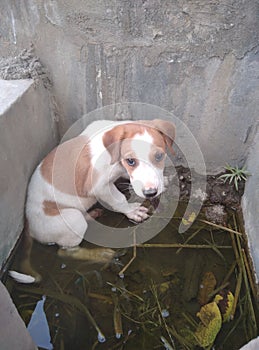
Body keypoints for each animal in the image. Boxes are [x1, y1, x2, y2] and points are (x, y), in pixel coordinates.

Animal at [9, 119, 176, 284]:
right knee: (66, 251)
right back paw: (100, 254)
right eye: (130, 161)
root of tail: (28, 225)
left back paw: (92, 214)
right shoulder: (100, 187)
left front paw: (163, 181)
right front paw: (133, 212)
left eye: (159, 156)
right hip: (72, 218)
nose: (151, 193)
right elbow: (119, 200)